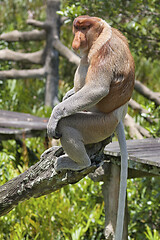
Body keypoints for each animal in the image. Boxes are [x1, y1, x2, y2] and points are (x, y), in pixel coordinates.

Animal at [47, 15, 134, 240]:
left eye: (85, 28)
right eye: (77, 27)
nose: (77, 38)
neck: (102, 32)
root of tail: (119, 116)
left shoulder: (105, 51)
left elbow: (97, 89)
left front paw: (54, 116)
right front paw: (68, 94)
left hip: (100, 124)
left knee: (68, 124)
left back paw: (79, 163)